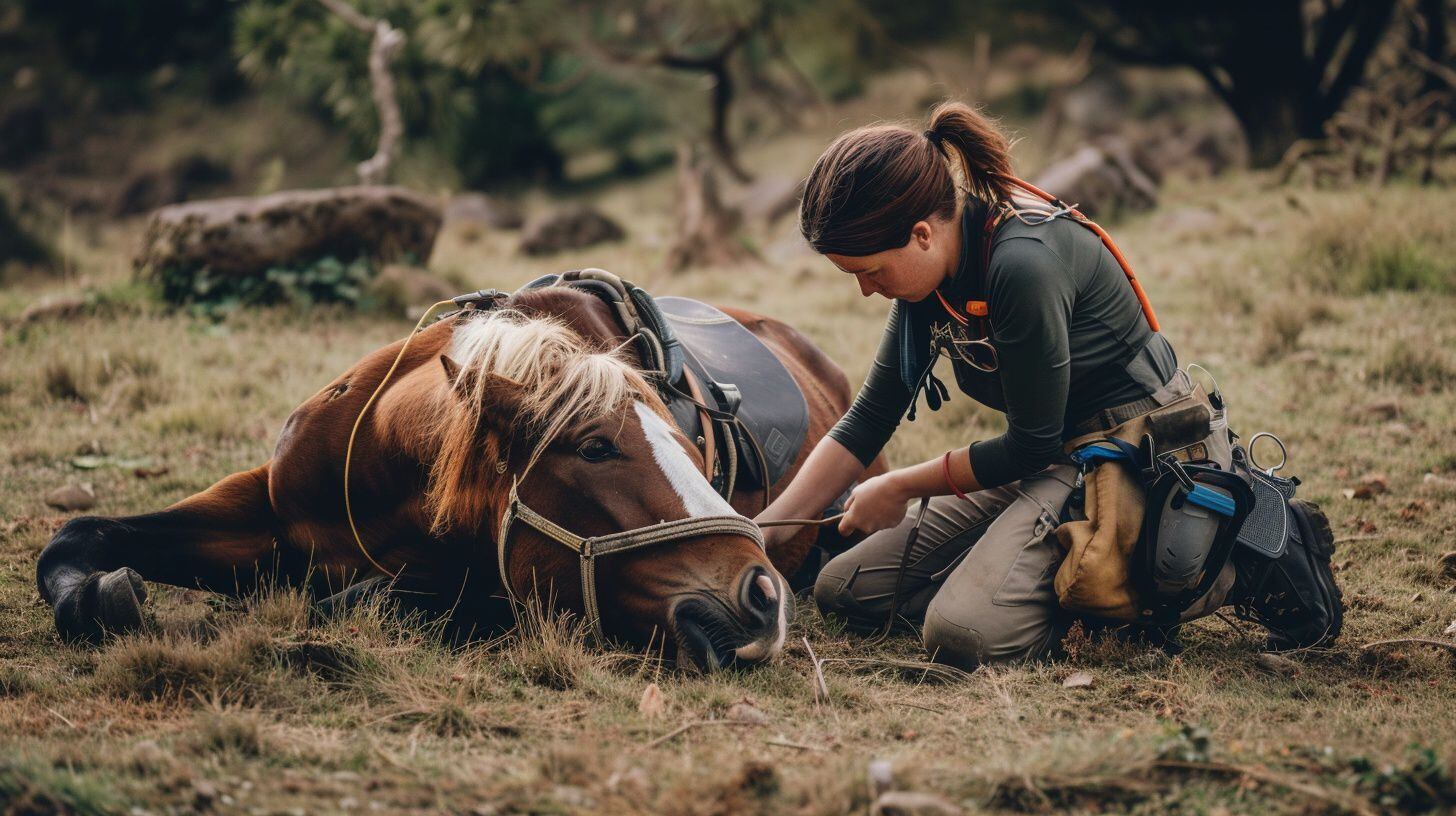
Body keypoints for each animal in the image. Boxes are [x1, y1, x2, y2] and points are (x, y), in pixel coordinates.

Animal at [36, 285, 873, 670]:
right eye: (595, 447)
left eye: (697, 455)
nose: (763, 597)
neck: (380, 474)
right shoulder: (263, 511)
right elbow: (78, 535)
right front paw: (100, 594)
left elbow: (363, 597)